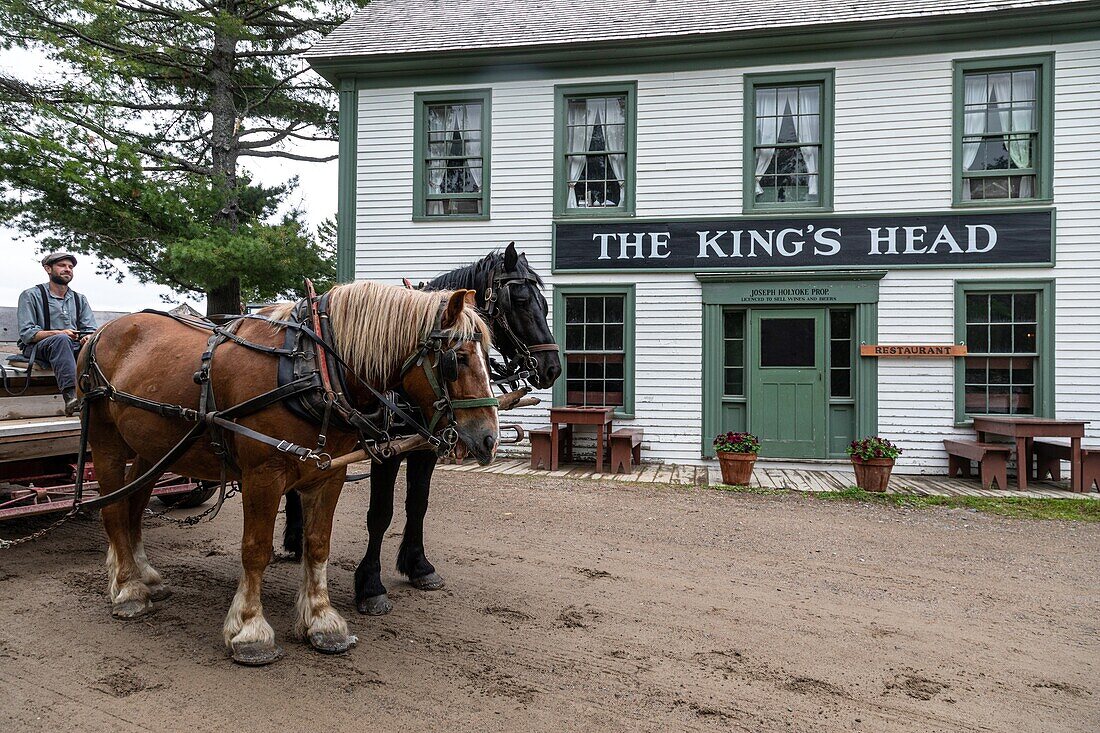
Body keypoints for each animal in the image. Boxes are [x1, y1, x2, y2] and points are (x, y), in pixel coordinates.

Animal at [81, 279, 499, 660]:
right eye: (457, 359)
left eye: (488, 356)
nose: (489, 439)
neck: (313, 366)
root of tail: (100, 332)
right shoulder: (262, 475)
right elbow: (255, 549)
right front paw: (250, 628)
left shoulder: (327, 473)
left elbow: (318, 544)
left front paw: (322, 620)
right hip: (107, 442)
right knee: (113, 509)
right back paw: (128, 589)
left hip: (153, 449)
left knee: (135, 505)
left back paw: (145, 576)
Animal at [283, 244, 563, 611]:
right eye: (519, 300)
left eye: (544, 303)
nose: (552, 367)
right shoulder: (385, 451)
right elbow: (381, 513)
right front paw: (370, 584)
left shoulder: (426, 447)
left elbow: (418, 504)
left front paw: (418, 566)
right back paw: (293, 538)